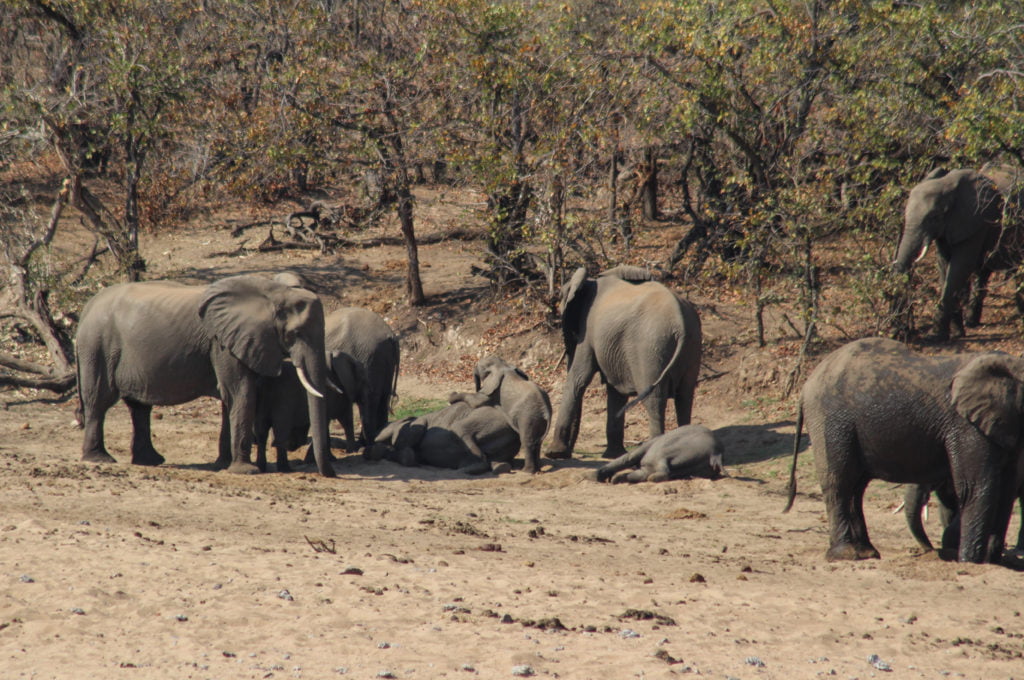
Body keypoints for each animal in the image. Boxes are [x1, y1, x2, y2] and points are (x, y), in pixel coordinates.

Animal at [75, 274, 335, 477]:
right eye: (295, 333)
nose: (331, 474)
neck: (272, 293)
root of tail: (87, 307)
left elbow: (230, 399)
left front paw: (222, 465)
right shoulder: (222, 342)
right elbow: (241, 393)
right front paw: (245, 471)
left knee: (139, 407)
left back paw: (150, 461)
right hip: (97, 345)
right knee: (99, 399)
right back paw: (100, 459)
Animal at [323, 307, 400, 451]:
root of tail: (391, 336)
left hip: (368, 356)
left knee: (369, 401)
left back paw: (366, 445)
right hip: (383, 358)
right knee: (382, 398)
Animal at [547, 266, 702, 460]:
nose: (569, 453)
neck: (590, 281)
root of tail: (680, 324)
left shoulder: (588, 330)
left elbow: (579, 377)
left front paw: (553, 453)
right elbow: (615, 390)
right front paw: (613, 456)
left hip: (651, 349)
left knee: (655, 400)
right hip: (692, 346)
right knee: (685, 397)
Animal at [784, 337, 1024, 564]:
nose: (930, 551)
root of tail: (806, 385)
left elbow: (1006, 488)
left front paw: (991, 562)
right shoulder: (966, 425)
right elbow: (974, 488)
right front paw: (969, 563)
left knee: (856, 487)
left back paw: (866, 553)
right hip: (830, 421)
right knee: (839, 482)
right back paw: (847, 555)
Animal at [893, 166, 1024, 341]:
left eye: (934, 217)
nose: (899, 332)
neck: (947, 185)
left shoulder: (976, 220)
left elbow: (960, 267)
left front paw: (936, 336)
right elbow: (944, 266)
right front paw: (956, 333)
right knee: (984, 272)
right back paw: (971, 322)